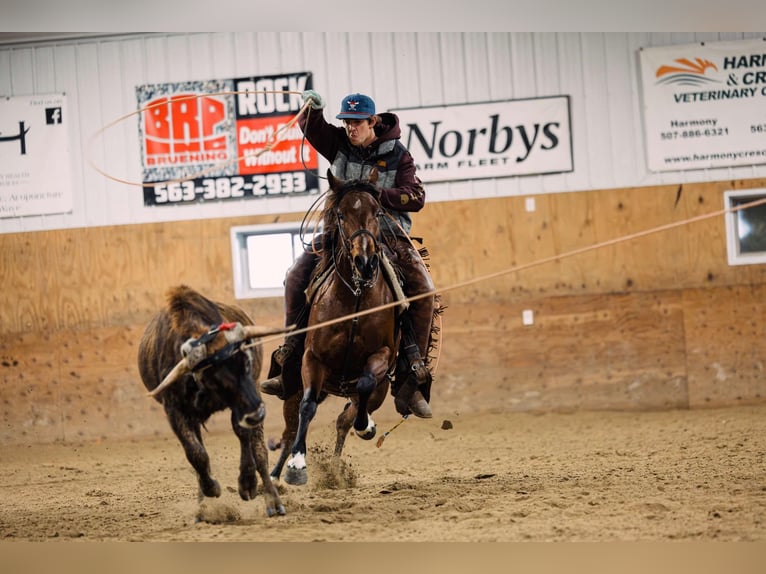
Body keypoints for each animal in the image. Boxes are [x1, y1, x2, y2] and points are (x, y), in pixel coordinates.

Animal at [272, 168, 402, 486]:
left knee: (347, 417)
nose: (365, 261)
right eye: (341, 214)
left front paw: (366, 426)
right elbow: (307, 407)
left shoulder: (382, 355)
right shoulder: (312, 359)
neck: (354, 297)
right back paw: (273, 476)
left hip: (380, 390)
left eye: (378, 212)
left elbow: (364, 386)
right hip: (292, 386)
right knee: (290, 428)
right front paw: (296, 466)